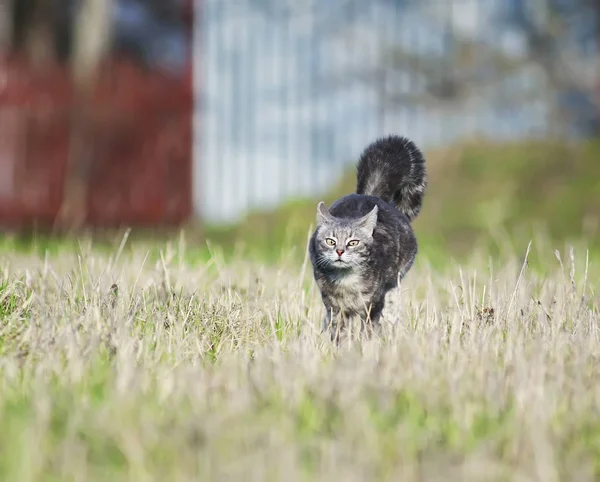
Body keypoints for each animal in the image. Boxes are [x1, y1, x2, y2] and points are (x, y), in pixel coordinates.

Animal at [310, 134, 426, 340]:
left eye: (353, 242)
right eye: (330, 241)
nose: (339, 251)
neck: (346, 281)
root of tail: (370, 195)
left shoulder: (373, 303)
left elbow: (370, 329)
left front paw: (367, 344)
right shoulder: (334, 306)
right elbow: (338, 331)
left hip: (394, 284)